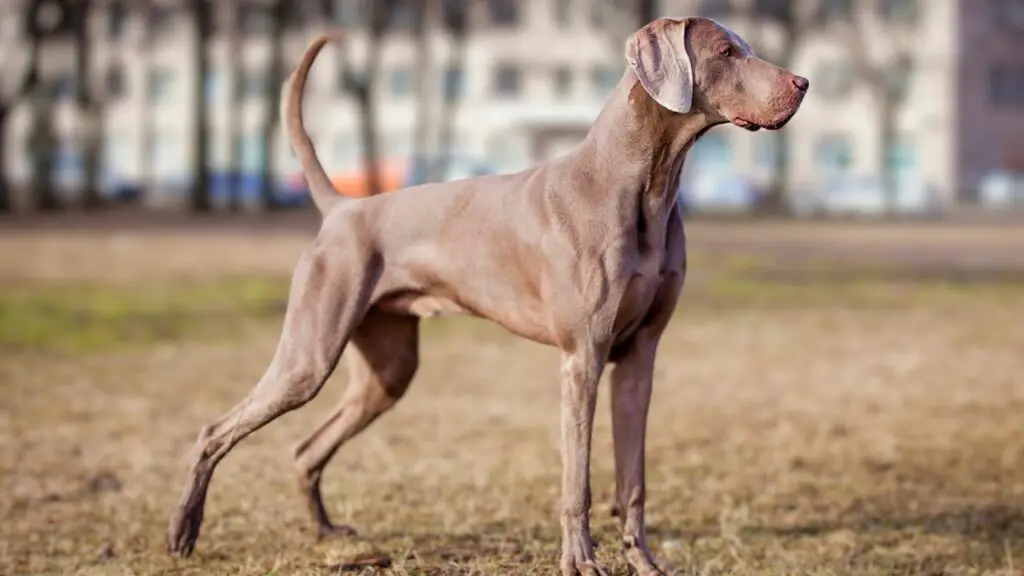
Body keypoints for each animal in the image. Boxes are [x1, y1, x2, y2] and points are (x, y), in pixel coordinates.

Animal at [165, 15, 806, 569]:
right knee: (214, 431)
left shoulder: (639, 357)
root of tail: (343, 206)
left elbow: (634, 480)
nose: (802, 83)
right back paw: (182, 532)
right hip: (309, 353)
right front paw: (580, 562)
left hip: (387, 372)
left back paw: (328, 535)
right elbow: (578, 479)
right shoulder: (582, 359)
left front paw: (644, 563)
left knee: (306, 448)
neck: (644, 185)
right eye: (726, 52)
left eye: (745, 46)